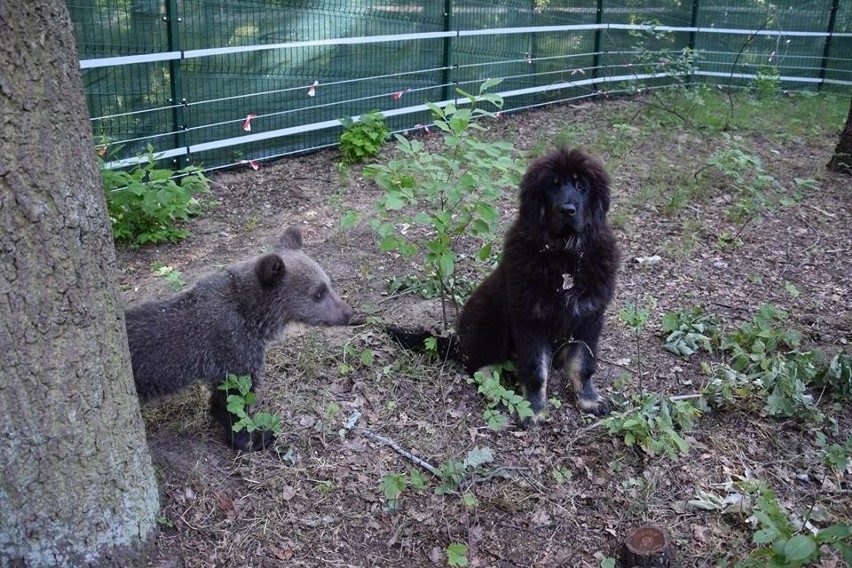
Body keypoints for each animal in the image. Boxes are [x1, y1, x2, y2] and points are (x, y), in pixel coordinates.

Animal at [392, 149, 620, 424]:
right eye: (552, 186)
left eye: (581, 186)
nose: (567, 210)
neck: (564, 257)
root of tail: (458, 340)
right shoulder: (531, 321)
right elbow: (535, 370)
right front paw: (532, 409)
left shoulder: (589, 317)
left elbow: (583, 364)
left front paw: (588, 399)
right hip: (492, 326)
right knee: (476, 365)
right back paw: (493, 387)